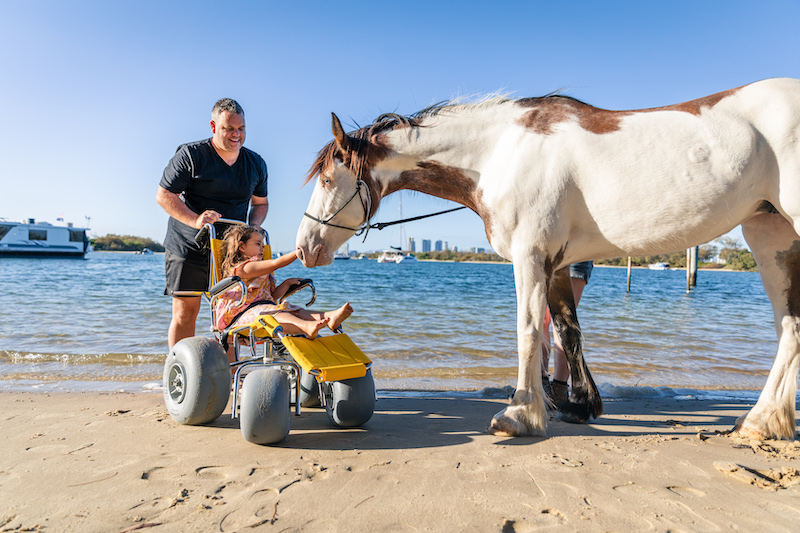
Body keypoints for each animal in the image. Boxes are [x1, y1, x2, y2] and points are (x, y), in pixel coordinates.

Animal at [296, 78, 800, 436]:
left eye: (327, 179)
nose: (304, 247)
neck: (501, 151)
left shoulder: (530, 256)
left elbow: (529, 332)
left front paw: (520, 413)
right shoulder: (555, 264)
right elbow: (567, 332)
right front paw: (579, 405)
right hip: (769, 234)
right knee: (789, 328)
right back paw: (761, 422)